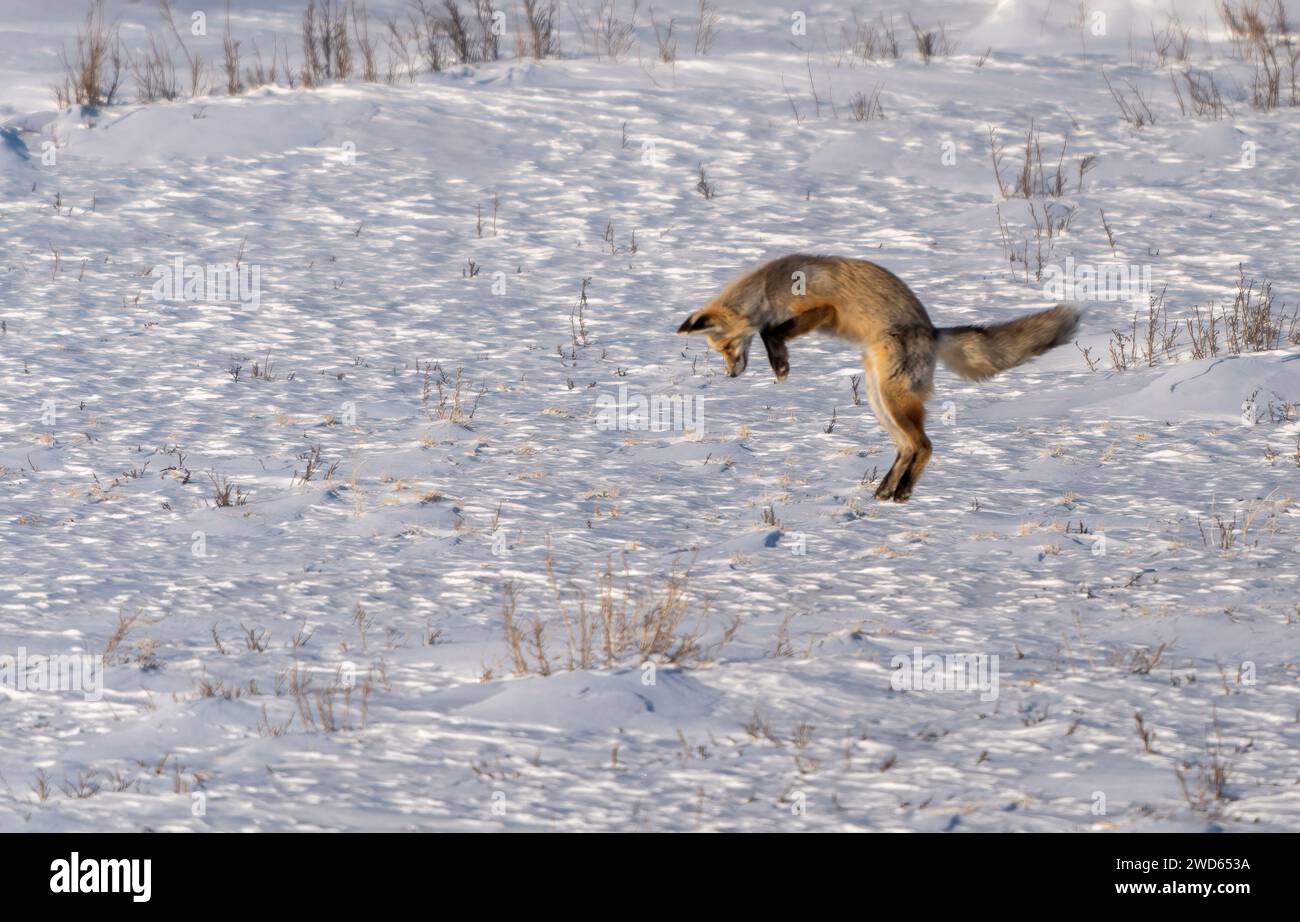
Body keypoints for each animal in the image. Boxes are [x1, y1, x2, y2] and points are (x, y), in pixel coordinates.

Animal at [676, 253, 1081, 504]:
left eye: (726, 347)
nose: (731, 374)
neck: (769, 290)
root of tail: (933, 332)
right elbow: (769, 330)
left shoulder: (822, 308)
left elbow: (769, 331)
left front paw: (780, 364)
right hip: (879, 399)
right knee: (907, 447)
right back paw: (885, 491)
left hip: (892, 399)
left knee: (925, 445)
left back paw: (902, 493)